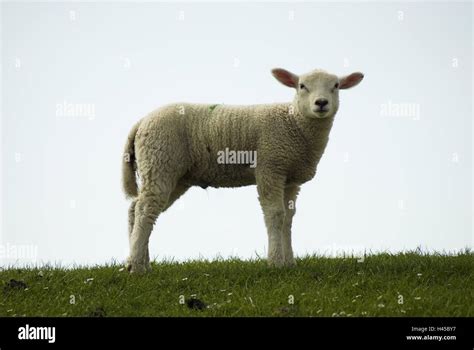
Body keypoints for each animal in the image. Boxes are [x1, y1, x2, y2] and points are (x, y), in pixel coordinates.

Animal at [122, 67, 362, 272]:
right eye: (302, 86)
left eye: (336, 85)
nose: (321, 103)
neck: (294, 123)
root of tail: (142, 122)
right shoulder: (270, 167)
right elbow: (275, 214)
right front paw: (276, 262)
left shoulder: (291, 179)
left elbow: (289, 217)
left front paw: (289, 262)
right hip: (159, 161)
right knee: (145, 209)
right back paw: (137, 266)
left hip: (174, 175)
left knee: (138, 208)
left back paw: (139, 262)